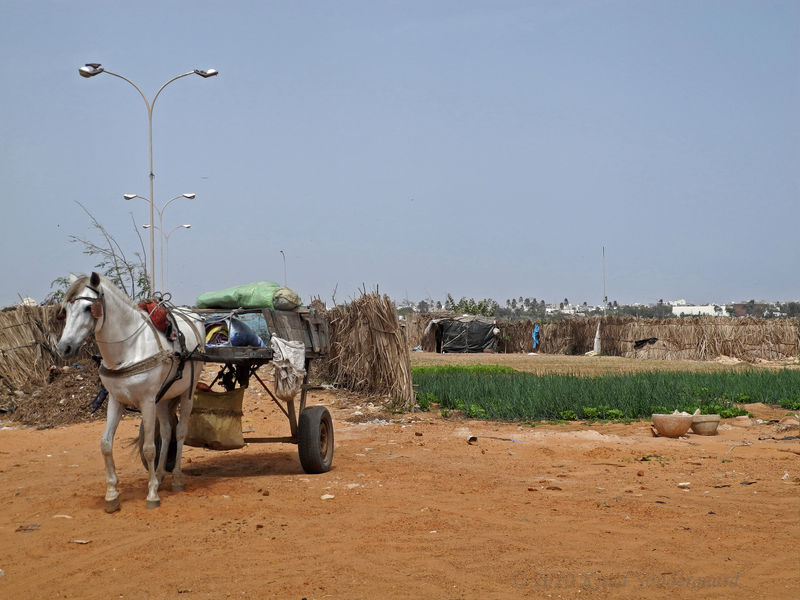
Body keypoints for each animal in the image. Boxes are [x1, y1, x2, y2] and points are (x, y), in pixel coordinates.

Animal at [55, 272, 203, 510]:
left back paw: (176, 479)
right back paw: (160, 474)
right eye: (65, 311)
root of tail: (193, 315)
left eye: (88, 308)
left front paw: (152, 495)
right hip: (163, 398)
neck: (129, 349)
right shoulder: (116, 400)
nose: (64, 348)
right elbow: (106, 444)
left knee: (180, 432)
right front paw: (112, 495)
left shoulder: (147, 401)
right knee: (167, 431)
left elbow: (149, 448)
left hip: (187, 391)